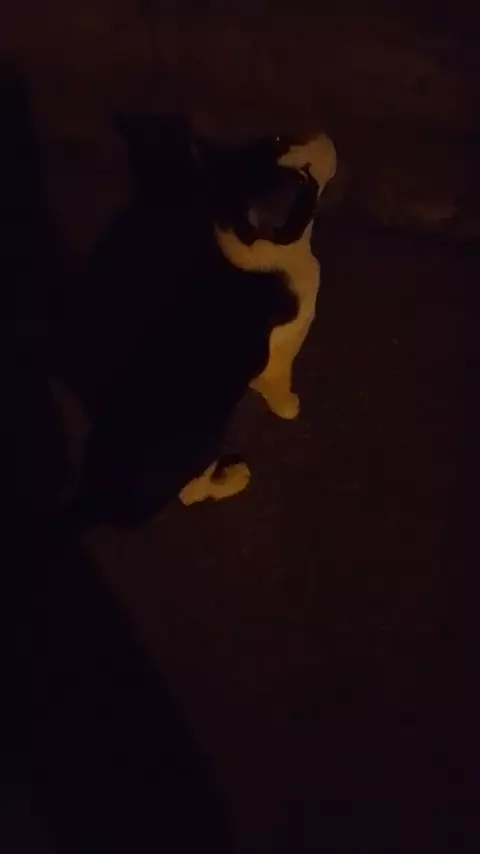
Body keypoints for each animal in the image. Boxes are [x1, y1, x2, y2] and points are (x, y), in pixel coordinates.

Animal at [66, 121, 336, 527]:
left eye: (279, 139)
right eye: (303, 181)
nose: (323, 135)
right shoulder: (285, 342)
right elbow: (278, 375)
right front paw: (287, 404)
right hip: (202, 447)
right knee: (191, 492)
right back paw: (234, 478)